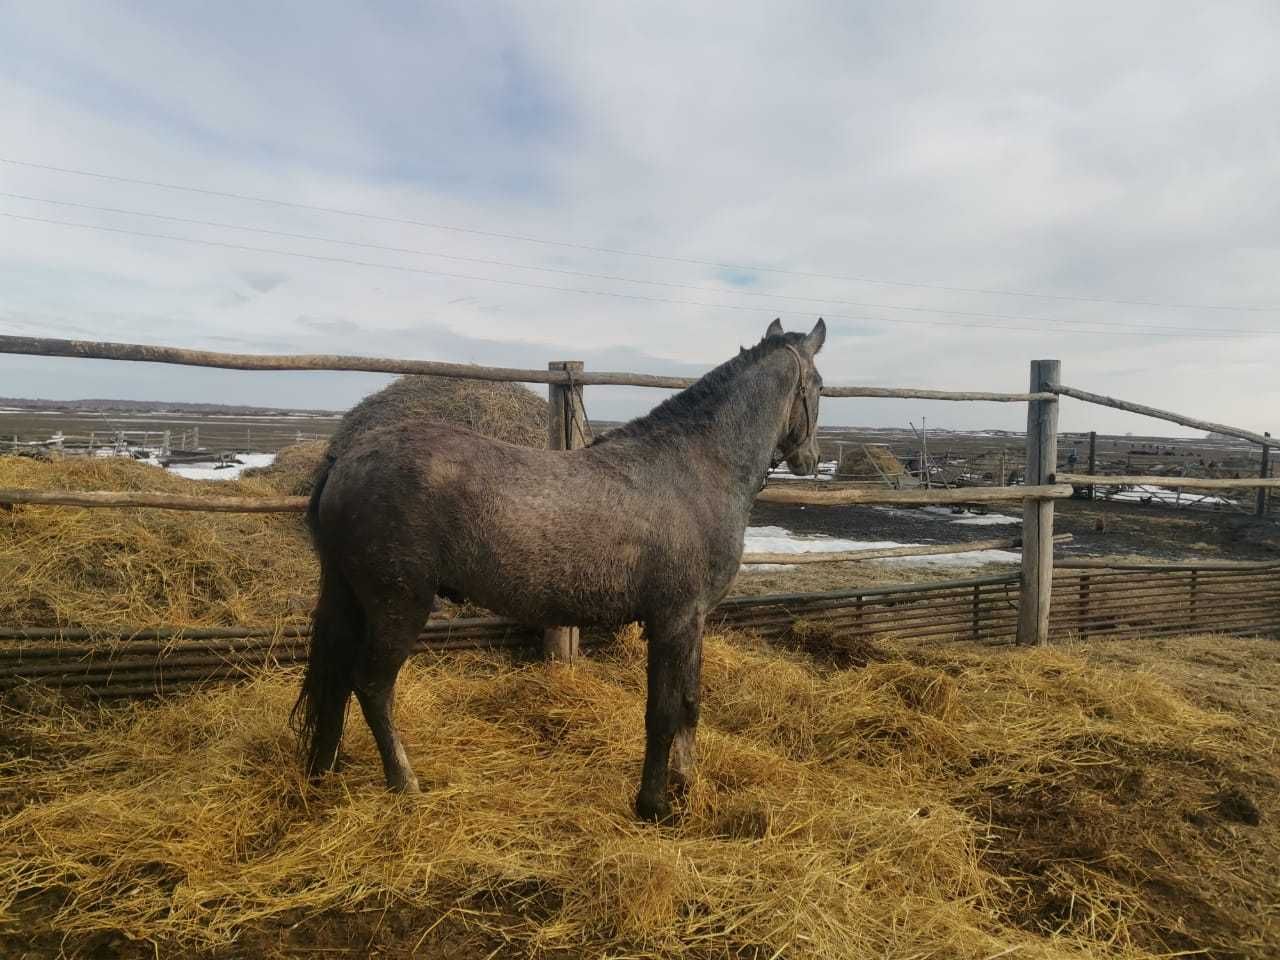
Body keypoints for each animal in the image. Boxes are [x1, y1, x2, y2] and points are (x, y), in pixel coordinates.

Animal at [293, 320, 824, 824]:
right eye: (818, 384)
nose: (810, 460)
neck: (693, 472)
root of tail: (346, 460)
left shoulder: (694, 621)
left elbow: (691, 705)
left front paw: (685, 785)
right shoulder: (672, 621)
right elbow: (662, 713)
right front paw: (654, 806)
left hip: (356, 602)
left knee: (338, 684)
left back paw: (326, 769)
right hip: (398, 605)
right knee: (372, 686)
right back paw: (404, 782)